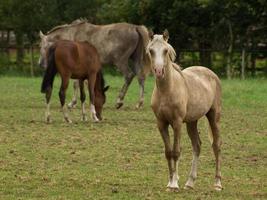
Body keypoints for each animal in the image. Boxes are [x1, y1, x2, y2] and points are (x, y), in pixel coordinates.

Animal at [149, 30, 224, 191]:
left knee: (216, 145)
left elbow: (176, 151)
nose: (159, 71)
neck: (167, 91)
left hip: (214, 116)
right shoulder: (161, 123)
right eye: (151, 50)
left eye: (165, 51)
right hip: (192, 122)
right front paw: (170, 181)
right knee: (197, 146)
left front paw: (174, 185)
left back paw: (217, 183)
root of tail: (211, 73)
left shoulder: (177, 123)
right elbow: (168, 152)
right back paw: (190, 182)